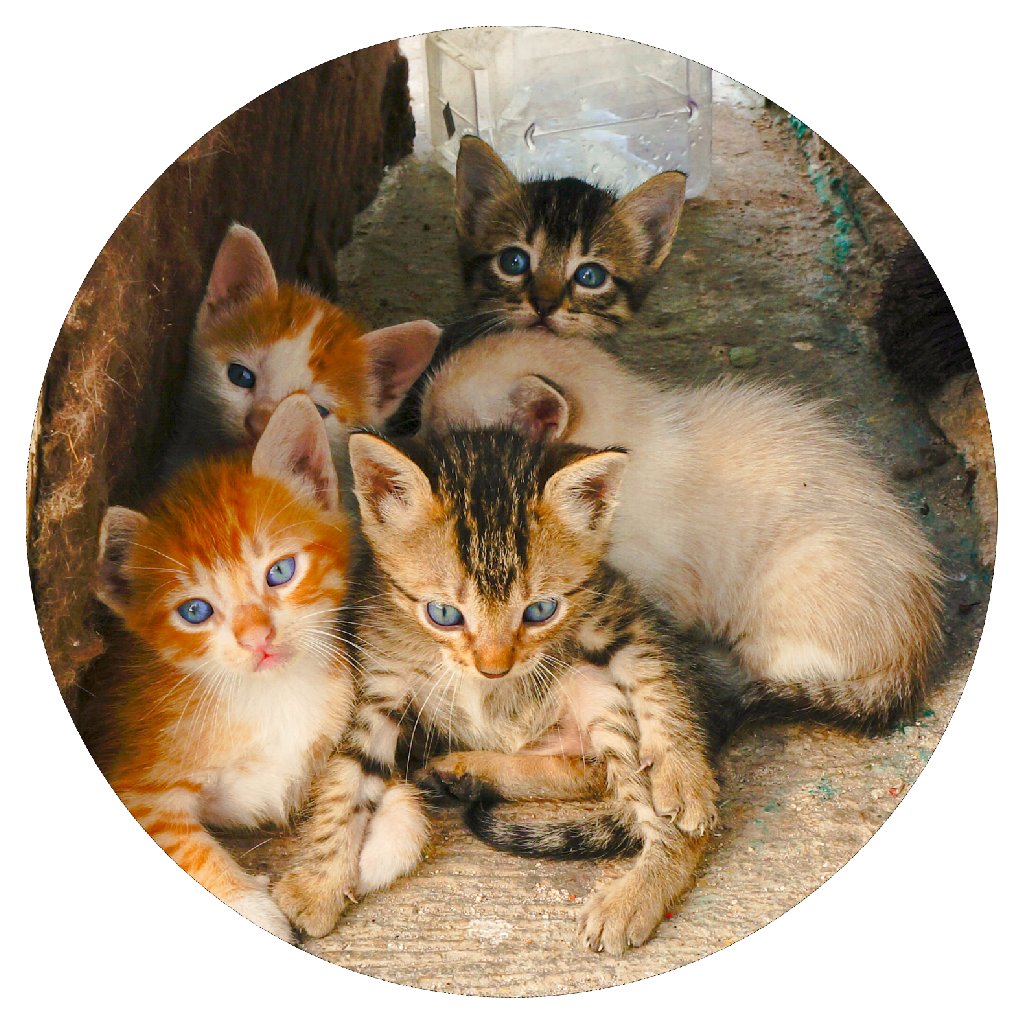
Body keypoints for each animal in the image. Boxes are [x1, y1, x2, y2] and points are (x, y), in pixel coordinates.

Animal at [82, 395, 354, 943]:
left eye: (280, 571)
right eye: (194, 611)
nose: (257, 637)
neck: (269, 693)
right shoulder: (136, 787)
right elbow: (186, 846)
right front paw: (252, 909)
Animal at [273, 427, 743, 954]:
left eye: (540, 611)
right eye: (443, 614)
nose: (494, 668)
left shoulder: (616, 608)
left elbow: (655, 674)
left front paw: (683, 774)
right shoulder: (378, 679)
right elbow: (347, 779)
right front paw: (318, 885)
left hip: (592, 685)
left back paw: (636, 894)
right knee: (589, 774)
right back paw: (467, 770)